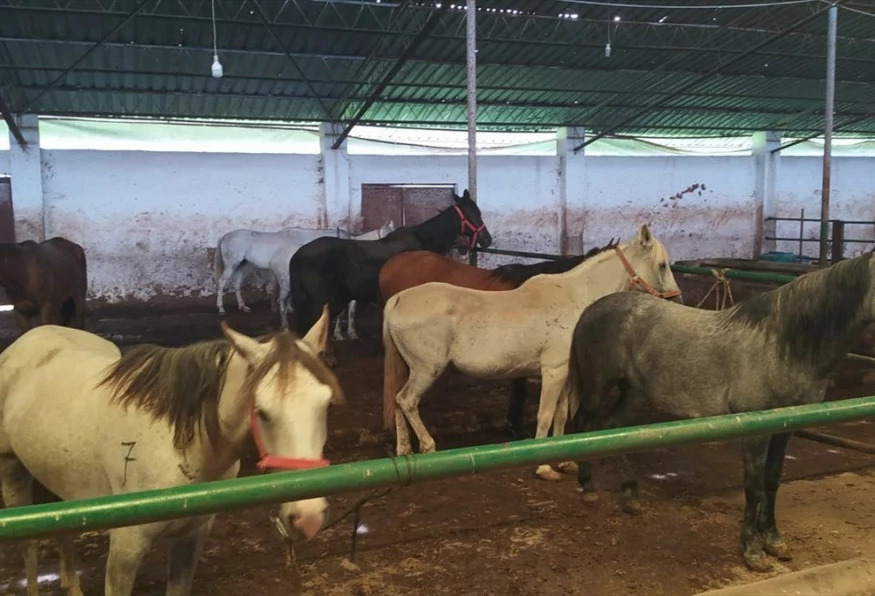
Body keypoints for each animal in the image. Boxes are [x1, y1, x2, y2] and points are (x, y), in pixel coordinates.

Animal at [0, 306, 342, 595]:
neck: (182, 447)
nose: (308, 516)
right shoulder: (126, 549)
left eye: (326, 404)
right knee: (29, 548)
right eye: (261, 411)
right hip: (13, 474)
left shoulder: (191, 538)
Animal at [214, 225, 351, 315]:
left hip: (241, 265)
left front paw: (289, 308)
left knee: (236, 284)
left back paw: (243, 307)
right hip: (232, 264)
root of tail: (224, 237)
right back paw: (221, 309)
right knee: (222, 283)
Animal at [560, 252, 875, 572]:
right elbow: (754, 487)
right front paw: (753, 550)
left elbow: (772, 480)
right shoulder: (755, 431)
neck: (782, 344)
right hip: (598, 388)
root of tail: (593, 308)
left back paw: (630, 495)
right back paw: (588, 487)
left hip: (634, 393)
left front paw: (774, 540)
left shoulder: (785, 427)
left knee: (615, 429)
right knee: (584, 426)